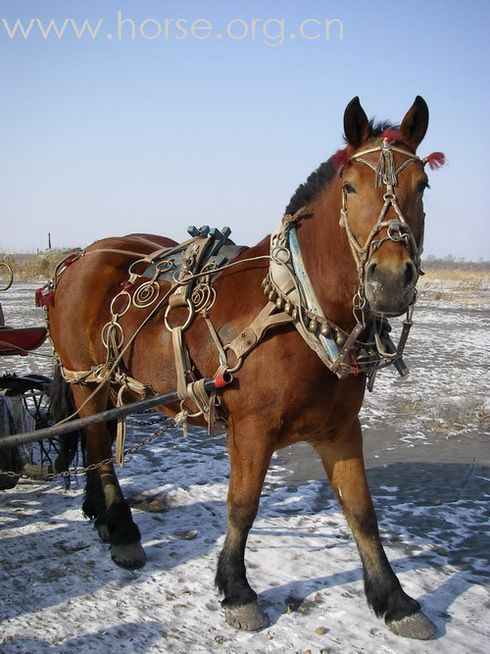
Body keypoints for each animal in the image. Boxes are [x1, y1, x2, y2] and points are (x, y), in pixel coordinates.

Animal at [47, 97, 442, 640]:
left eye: (422, 185)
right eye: (350, 186)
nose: (389, 279)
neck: (297, 308)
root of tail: (79, 256)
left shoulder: (340, 428)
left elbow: (362, 511)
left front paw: (394, 599)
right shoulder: (252, 428)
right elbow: (243, 506)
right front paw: (237, 590)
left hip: (107, 385)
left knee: (96, 442)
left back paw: (103, 518)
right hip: (86, 381)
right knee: (100, 448)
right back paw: (122, 529)